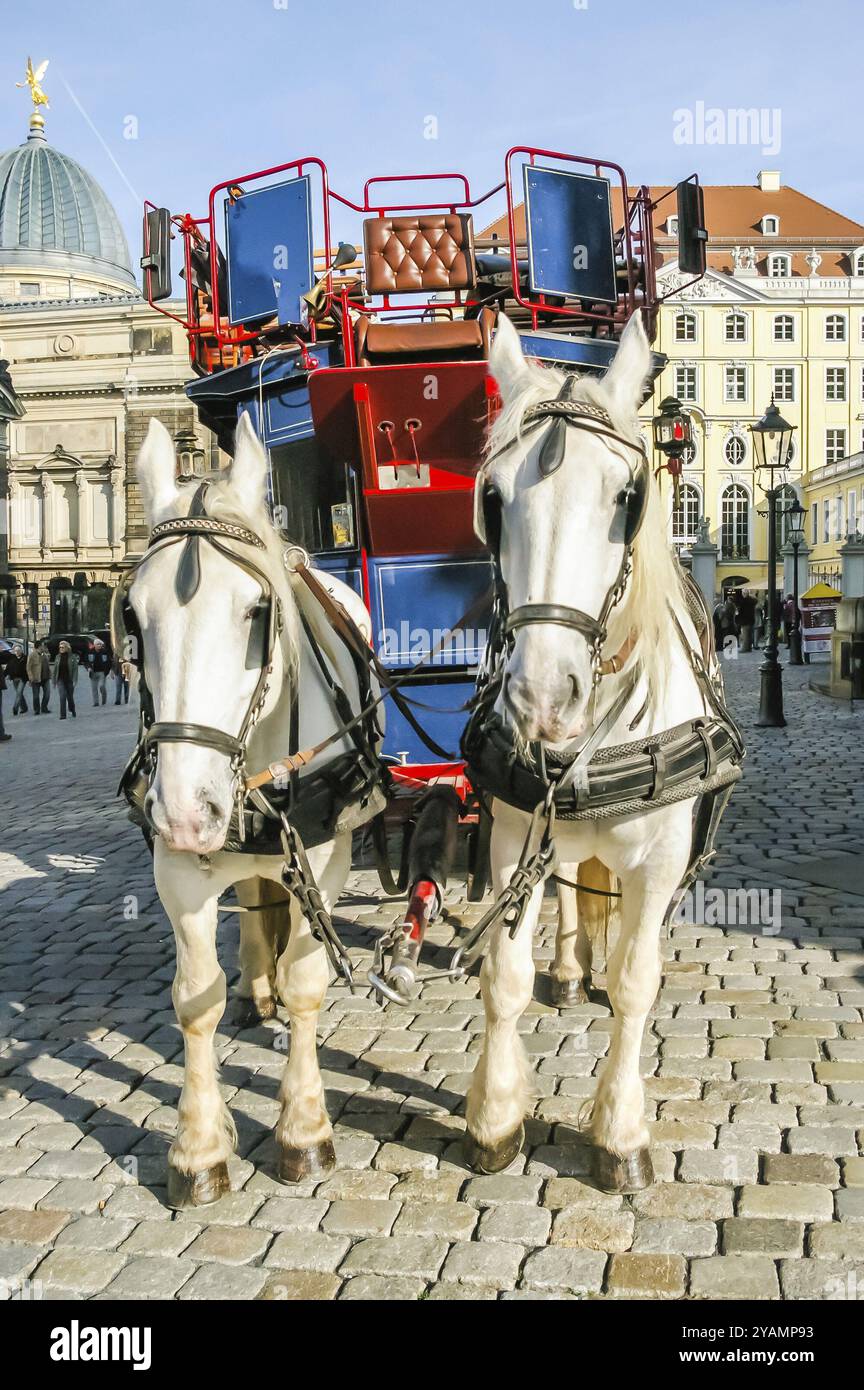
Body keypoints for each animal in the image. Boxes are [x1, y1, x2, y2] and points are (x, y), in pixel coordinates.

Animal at [127, 414, 383, 1206]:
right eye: (132, 618)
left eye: (256, 612)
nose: (184, 810)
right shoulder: (178, 869)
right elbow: (194, 999)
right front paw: (198, 1149)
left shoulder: (324, 859)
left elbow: (307, 985)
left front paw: (304, 1132)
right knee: (255, 896)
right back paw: (252, 984)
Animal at [463, 318, 738, 1195]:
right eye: (492, 499)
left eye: (628, 497)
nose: (543, 698)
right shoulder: (512, 838)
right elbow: (504, 976)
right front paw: (496, 1117)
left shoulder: (658, 861)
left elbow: (636, 982)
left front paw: (619, 1134)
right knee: (567, 896)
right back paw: (567, 965)